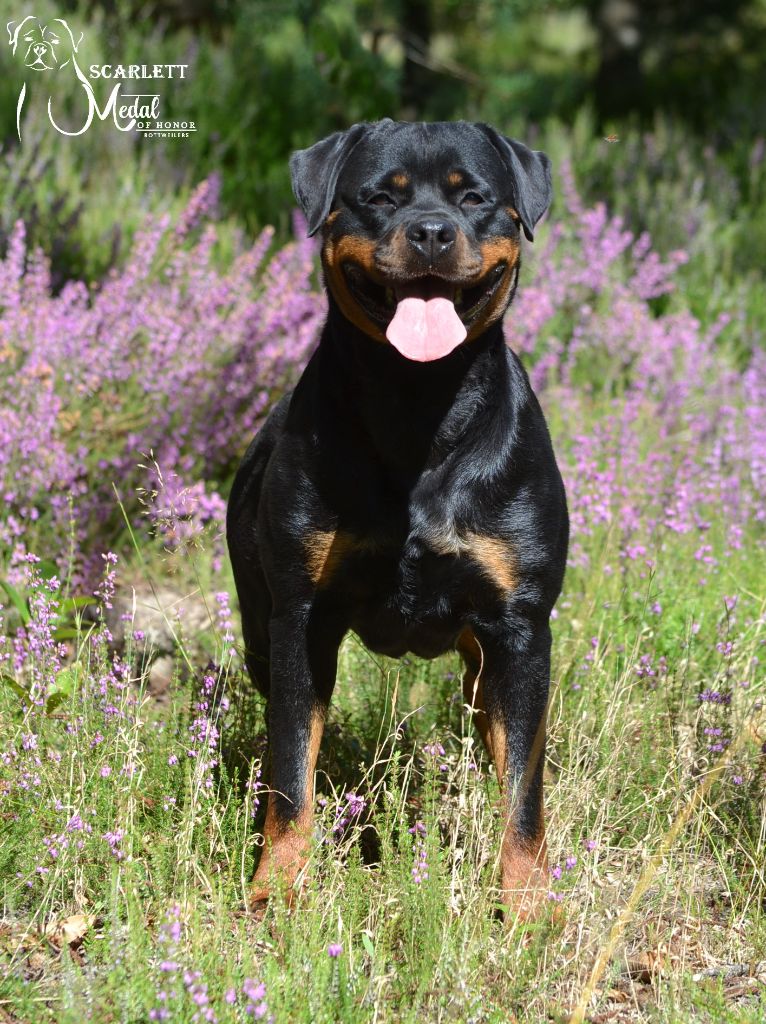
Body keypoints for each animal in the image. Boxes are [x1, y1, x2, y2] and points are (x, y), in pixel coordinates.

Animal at [227, 119, 569, 921]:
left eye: (474, 198)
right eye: (381, 197)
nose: (432, 232)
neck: (419, 403)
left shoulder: (520, 625)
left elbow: (524, 788)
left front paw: (527, 902)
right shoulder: (301, 618)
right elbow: (291, 767)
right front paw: (278, 886)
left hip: (484, 658)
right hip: (260, 631)